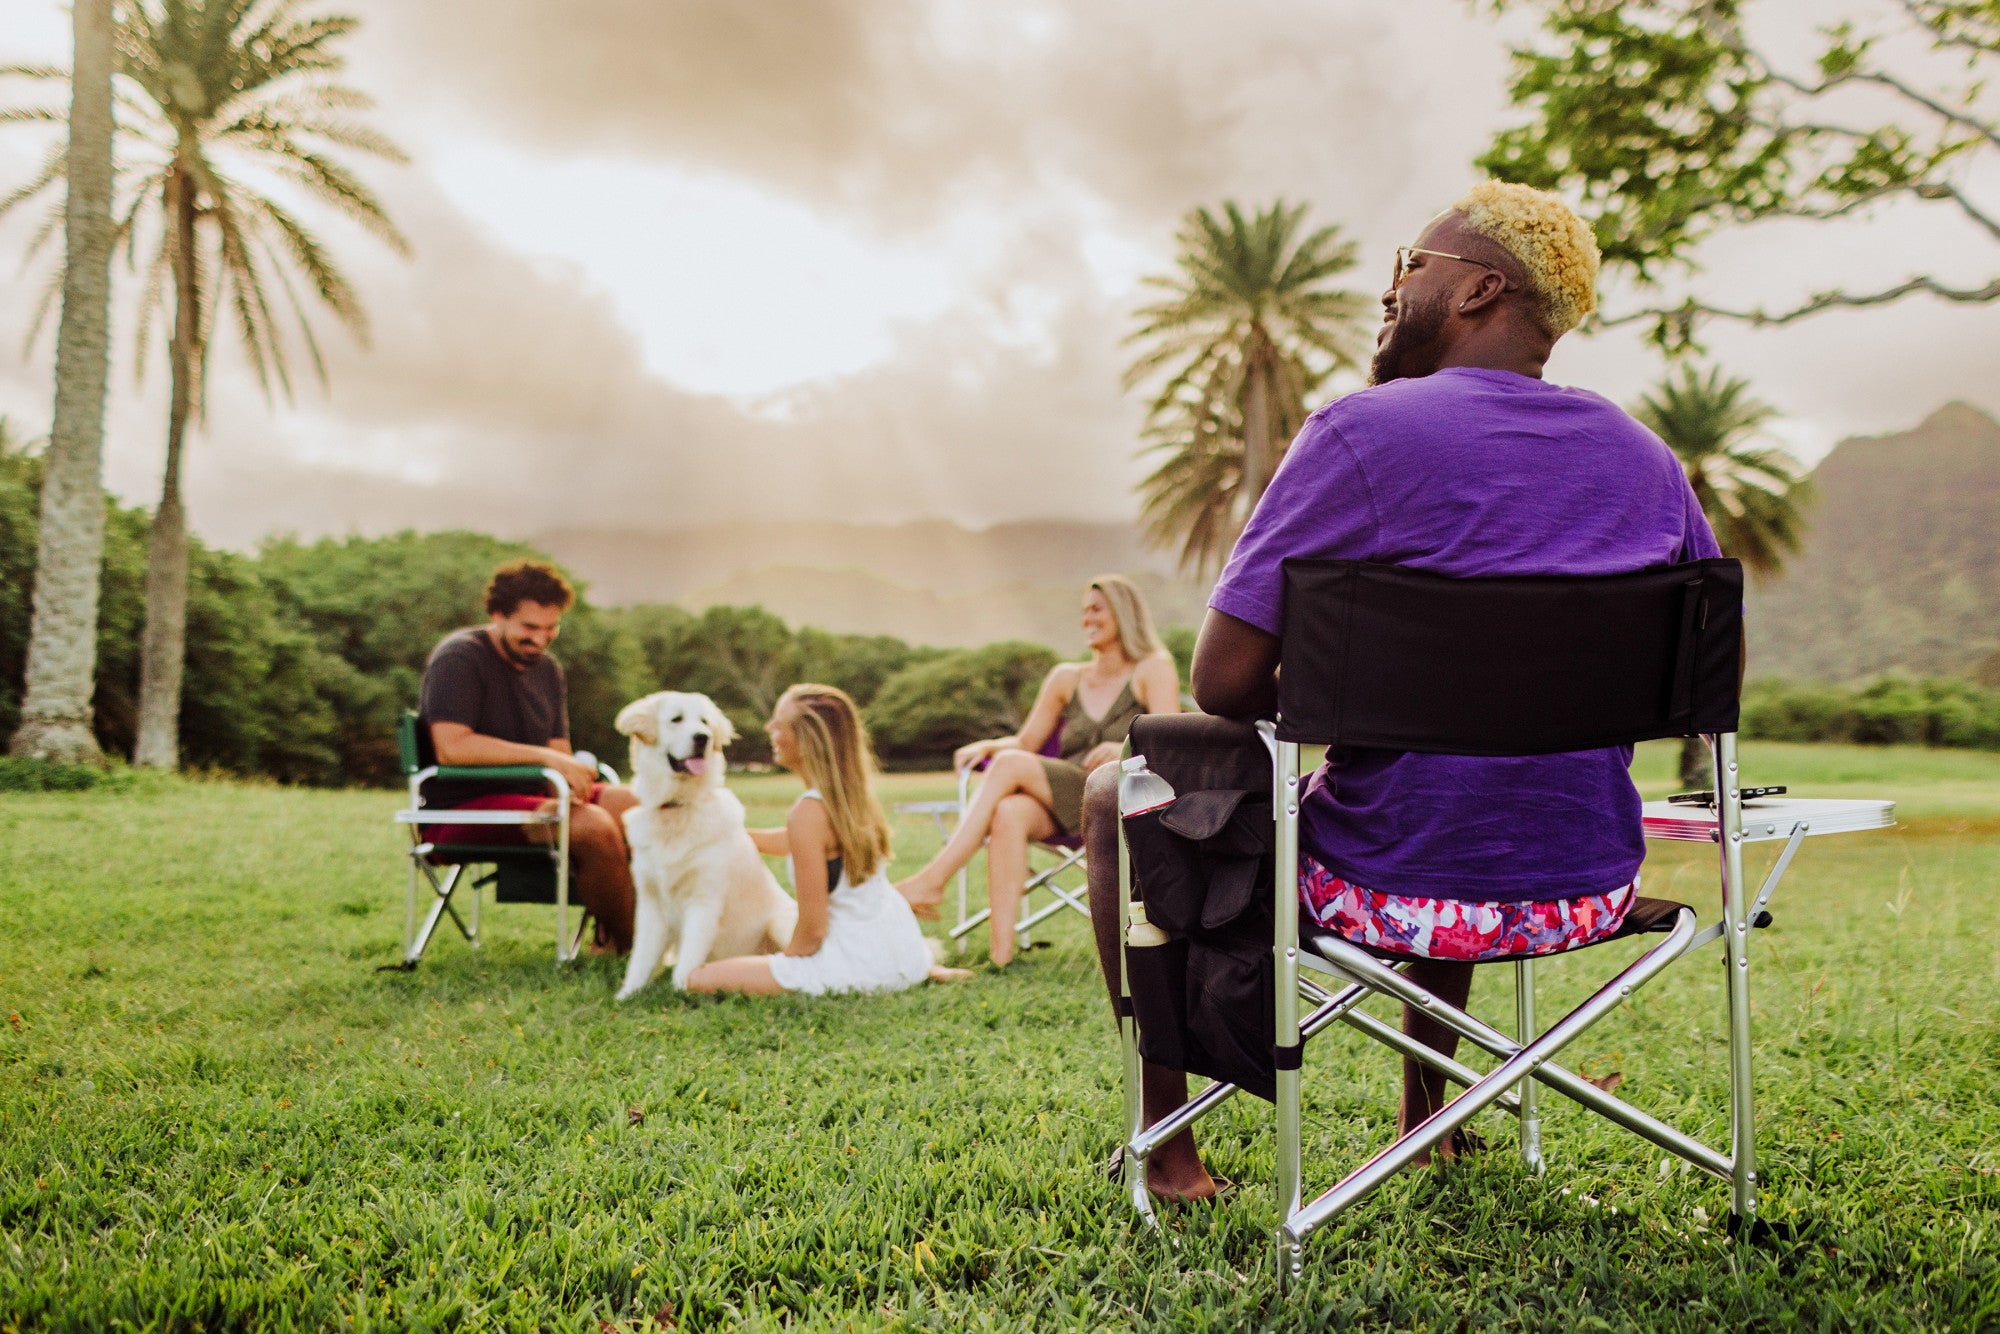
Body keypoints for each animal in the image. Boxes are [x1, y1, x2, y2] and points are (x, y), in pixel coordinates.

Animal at [612, 696, 792, 996]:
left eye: (705, 722)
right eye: (676, 719)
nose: (702, 738)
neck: (677, 809)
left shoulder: (704, 901)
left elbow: (687, 961)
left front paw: (679, 993)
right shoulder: (651, 904)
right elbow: (641, 958)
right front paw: (627, 994)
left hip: (780, 923)